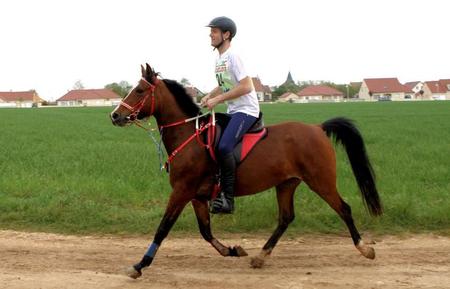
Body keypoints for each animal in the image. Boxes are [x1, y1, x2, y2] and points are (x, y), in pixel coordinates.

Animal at [110, 63, 382, 280]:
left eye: (140, 90)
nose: (115, 115)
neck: (190, 137)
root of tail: (318, 128)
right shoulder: (196, 196)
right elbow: (205, 231)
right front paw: (232, 250)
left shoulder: (182, 191)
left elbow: (163, 228)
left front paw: (140, 265)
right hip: (286, 184)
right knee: (286, 218)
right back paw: (260, 256)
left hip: (320, 181)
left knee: (344, 209)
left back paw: (365, 249)